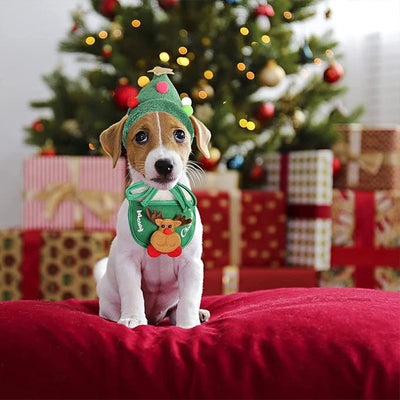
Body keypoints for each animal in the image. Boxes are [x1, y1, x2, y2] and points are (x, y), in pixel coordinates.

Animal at [95, 69, 212, 330]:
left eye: (180, 134)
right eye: (140, 136)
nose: (164, 164)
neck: (161, 197)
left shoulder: (192, 265)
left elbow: (189, 299)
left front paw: (188, 325)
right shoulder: (128, 262)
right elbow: (133, 292)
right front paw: (133, 318)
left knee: (178, 307)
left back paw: (197, 315)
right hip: (108, 297)